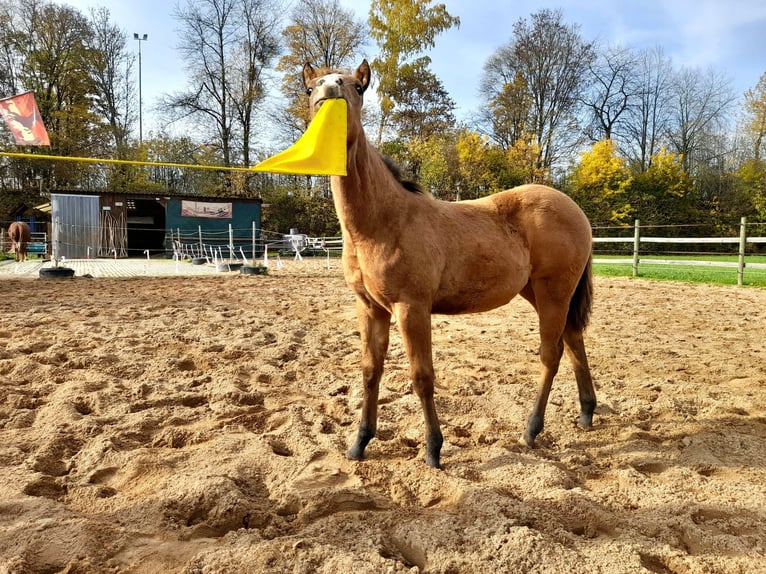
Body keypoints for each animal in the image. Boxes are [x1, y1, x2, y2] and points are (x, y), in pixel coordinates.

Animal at [303, 60, 596, 469]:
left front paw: (433, 448)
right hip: (540, 293)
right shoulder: (370, 308)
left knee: (551, 354)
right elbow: (370, 372)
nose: (329, 91)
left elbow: (421, 376)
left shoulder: (411, 307)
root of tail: (576, 210)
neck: (381, 221)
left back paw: (532, 430)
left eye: (356, 88)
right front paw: (360, 442)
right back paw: (586, 412)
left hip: (554, 292)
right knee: (573, 339)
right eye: (311, 87)